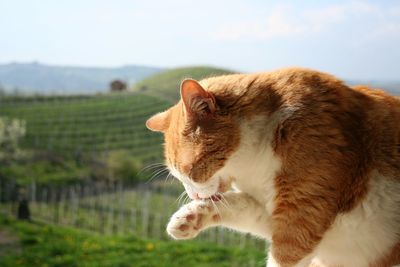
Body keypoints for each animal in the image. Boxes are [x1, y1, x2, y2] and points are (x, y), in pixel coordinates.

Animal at [146, 67, 400, 267]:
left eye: (190, 172)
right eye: (178, 177)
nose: (193, 195)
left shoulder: (301, 214)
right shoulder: (274, 215)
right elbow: (238, 205)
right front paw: (189, 217)